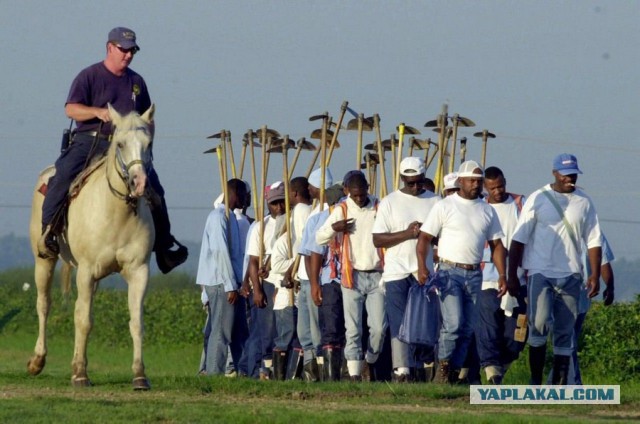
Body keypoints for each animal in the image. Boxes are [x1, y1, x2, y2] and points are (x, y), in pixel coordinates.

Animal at [27, 104, 158, 390]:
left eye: (149, 143)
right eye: (120, 144)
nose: (140, 183)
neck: (116, 212)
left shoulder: (139, 271)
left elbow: (136, 322)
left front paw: (140, 375)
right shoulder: (86, 271)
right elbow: (84, 321)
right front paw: (80, 375)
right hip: (44, 260)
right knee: (44, 304)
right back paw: (37, 361)